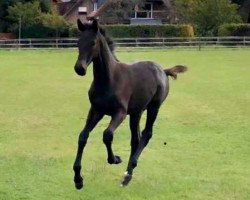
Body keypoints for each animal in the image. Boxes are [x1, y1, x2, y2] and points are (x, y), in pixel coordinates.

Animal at [72, 19, 188, 189]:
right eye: (78, 42)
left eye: (93, 42)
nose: (79, 68)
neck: (109, 79)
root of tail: (163, 70)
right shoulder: (96, 110)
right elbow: (82, 136)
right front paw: (78, 179)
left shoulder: (119, 113)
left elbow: (107, 135)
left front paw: (114, 159)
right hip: (136, 112)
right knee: (136, 139)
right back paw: (128, 173)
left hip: (154, 107)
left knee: (146, 134)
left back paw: (127, 174)